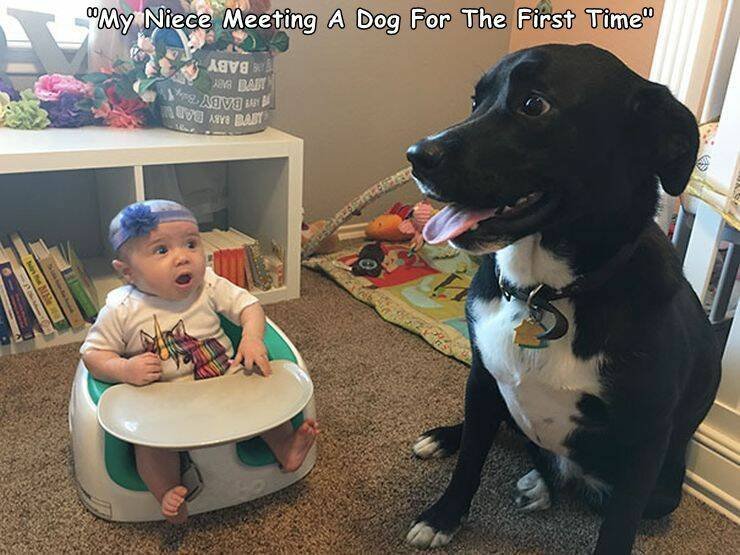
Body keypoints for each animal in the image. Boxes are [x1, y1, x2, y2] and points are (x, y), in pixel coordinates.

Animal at [405, 44, 721, 554]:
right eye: (476, 100)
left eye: (534, 105)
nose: (416, 155)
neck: (546, 292)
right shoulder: (482, 375)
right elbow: (471, 458)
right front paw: (443, 516)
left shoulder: (645, 438)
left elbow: (618, 525)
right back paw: (450, 441)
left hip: (663, 491)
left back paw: (540, 482)